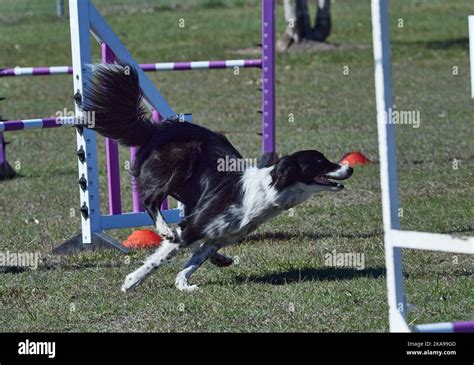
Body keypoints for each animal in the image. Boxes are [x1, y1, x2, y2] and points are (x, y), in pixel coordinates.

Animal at [82, 62, 352, 290]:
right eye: (320, 162)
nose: (349, 168)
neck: (268, 191)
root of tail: (156, 129)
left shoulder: (219, 235)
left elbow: (194, 260)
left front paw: (183, 284)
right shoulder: (192, 226)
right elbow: (161, 257)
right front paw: (132, 281)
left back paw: (215, 257)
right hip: (179, 160)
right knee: (151, 202)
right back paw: (164, 229)